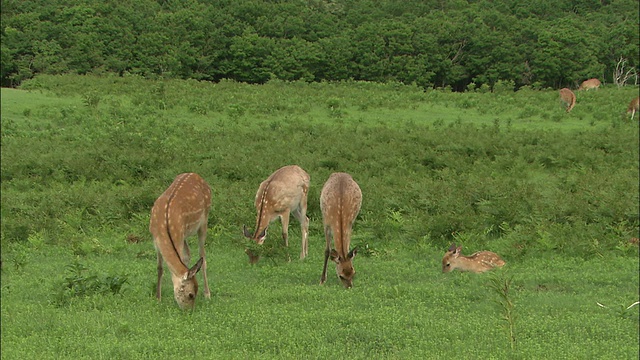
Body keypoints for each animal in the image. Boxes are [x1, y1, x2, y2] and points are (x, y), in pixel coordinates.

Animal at [149, 172, 211, 310]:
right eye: (190, 295)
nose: (190, 311)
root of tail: (195, 174)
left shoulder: (179, 236)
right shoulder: (155, 241)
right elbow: (160, 268)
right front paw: (158, 298)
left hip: (204, 220)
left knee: (203, 256)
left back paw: (208, 294)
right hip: (186, 234)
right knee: (189, 254)